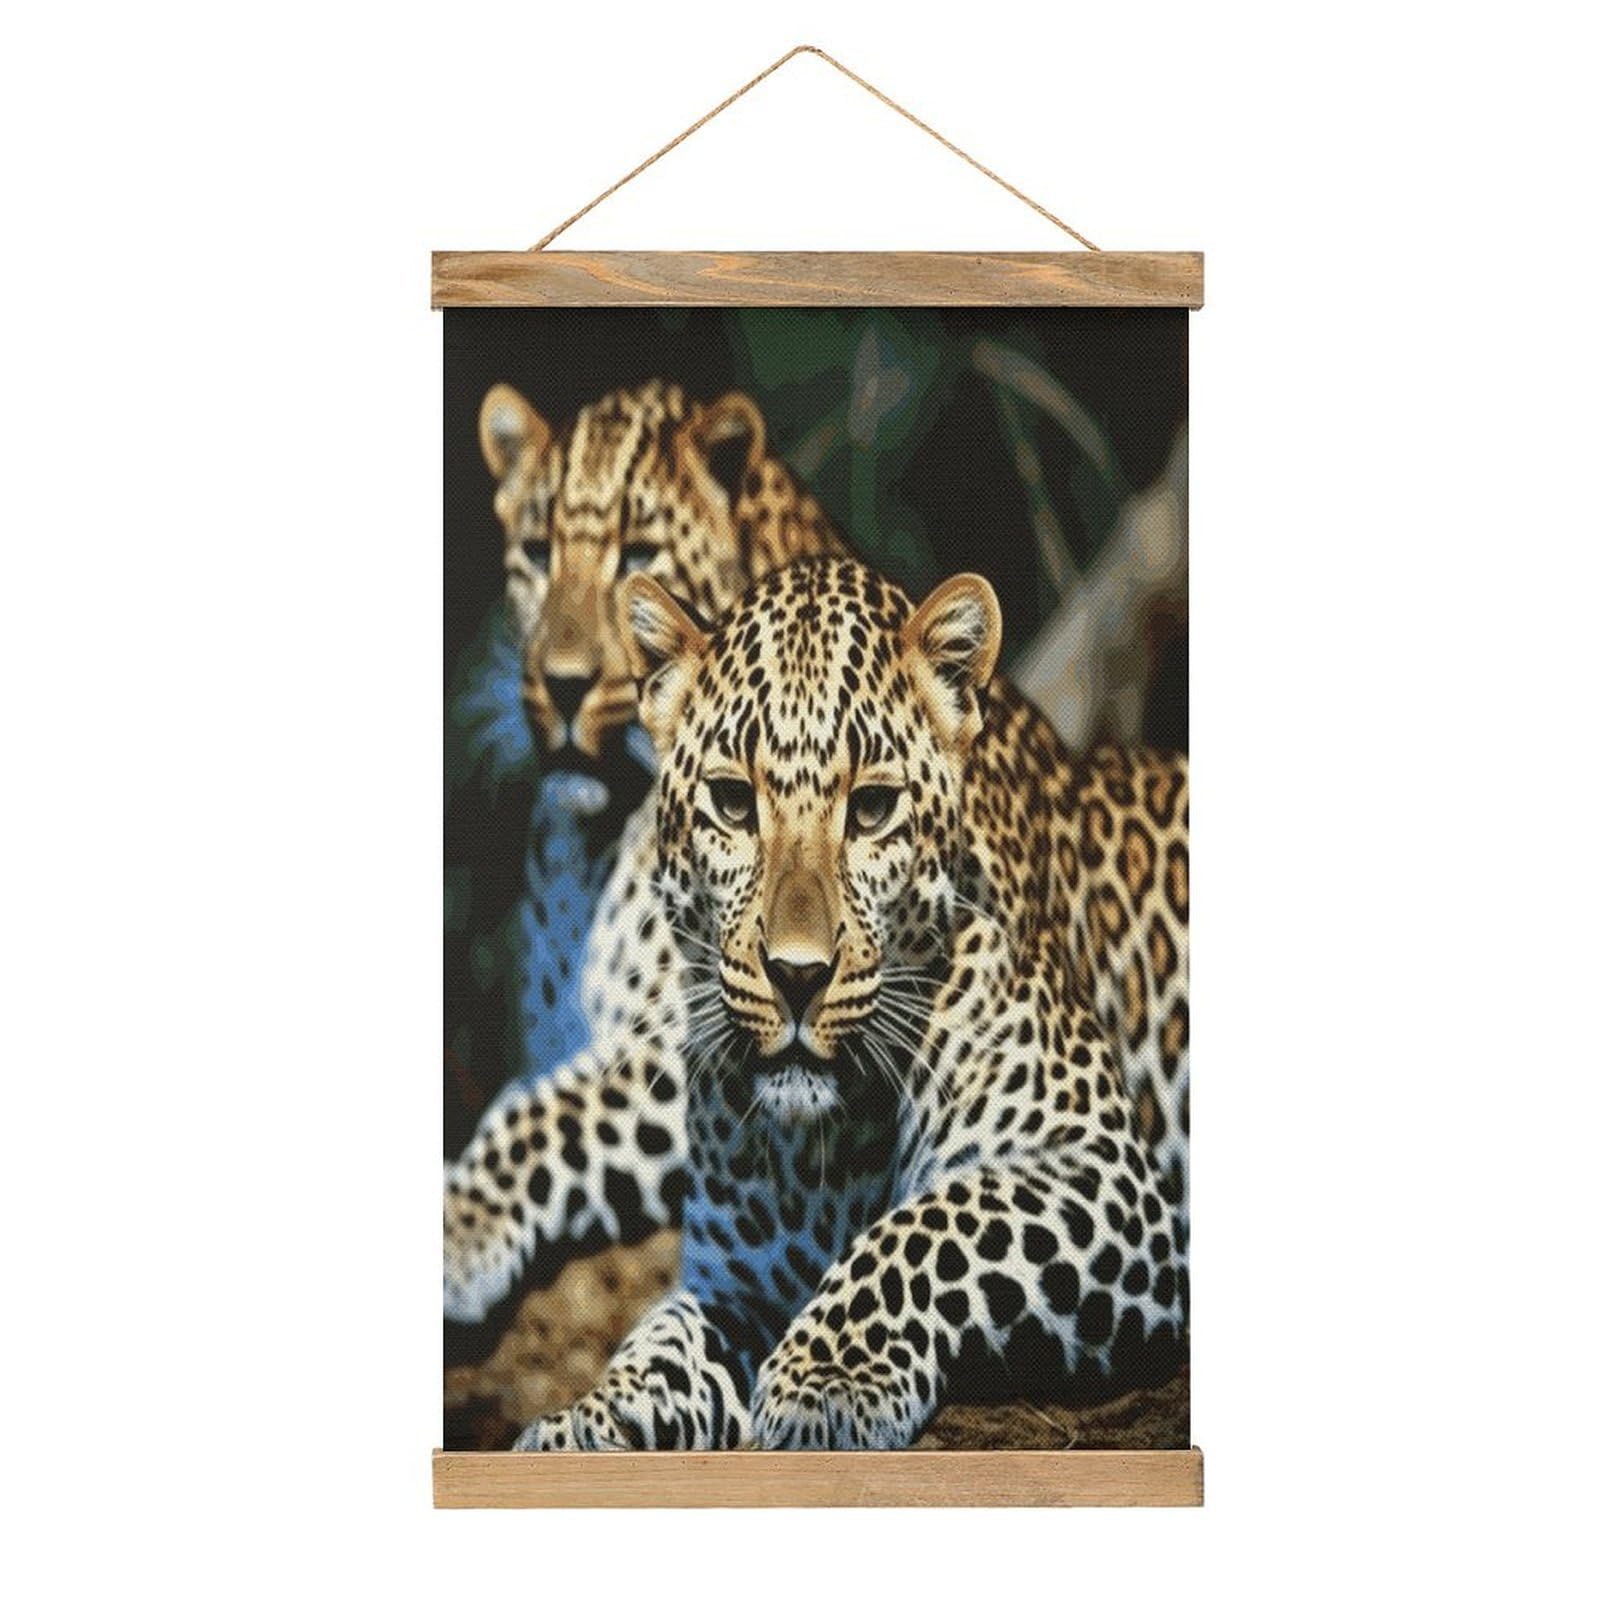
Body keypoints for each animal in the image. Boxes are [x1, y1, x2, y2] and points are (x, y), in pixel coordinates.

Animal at [450, 556, 1189, 1449]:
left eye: (872, 809)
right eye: (733, 802)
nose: (796, 975)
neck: (826, 1152)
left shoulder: (1105, 1172)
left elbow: (930, 1225)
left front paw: (826, 1380)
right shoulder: (736, 1281)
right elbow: (661, 1338)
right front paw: (589, 1420)